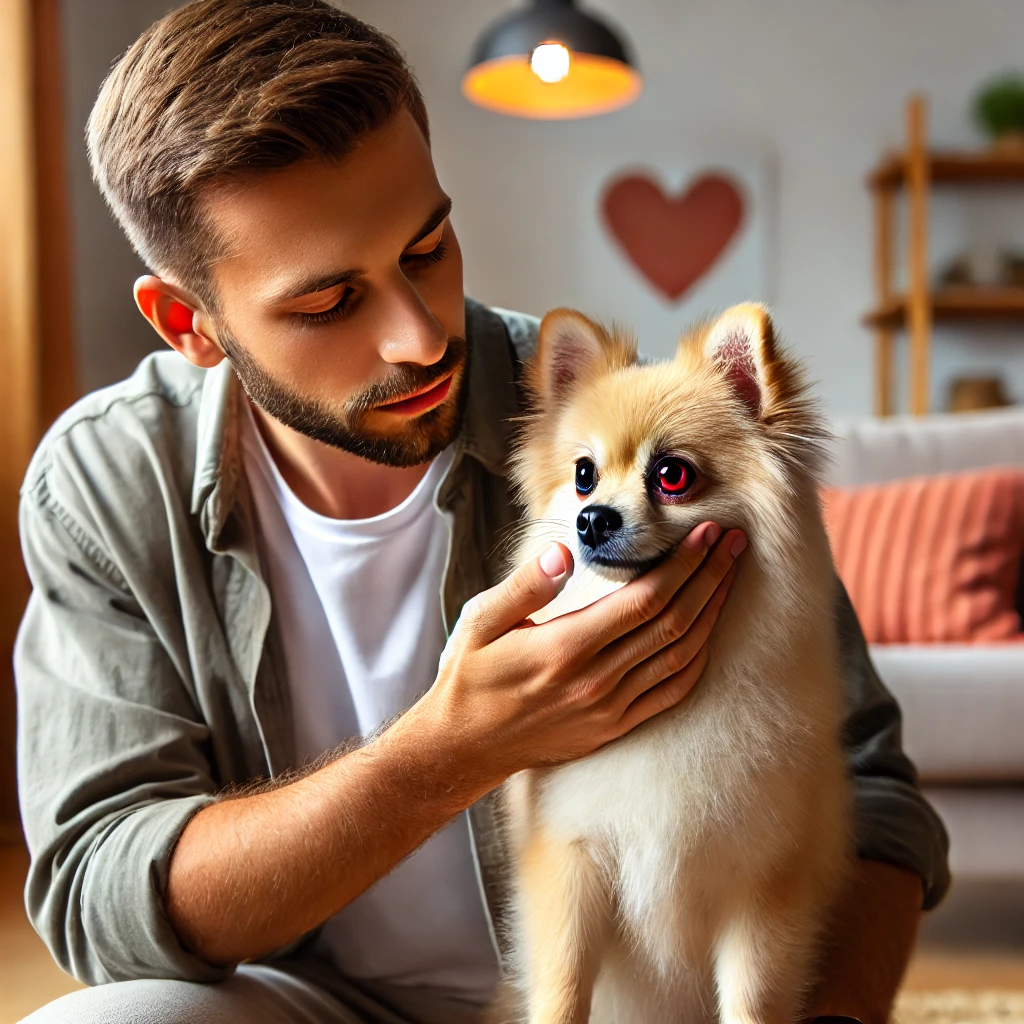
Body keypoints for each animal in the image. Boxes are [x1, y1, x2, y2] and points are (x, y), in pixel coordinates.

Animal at [493, 299, 847, 1019]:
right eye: (583, 475)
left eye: (672, 475)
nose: (593, 519)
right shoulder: (569, 859)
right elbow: (562, 990)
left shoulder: (764, 887)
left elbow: (752, 1002)